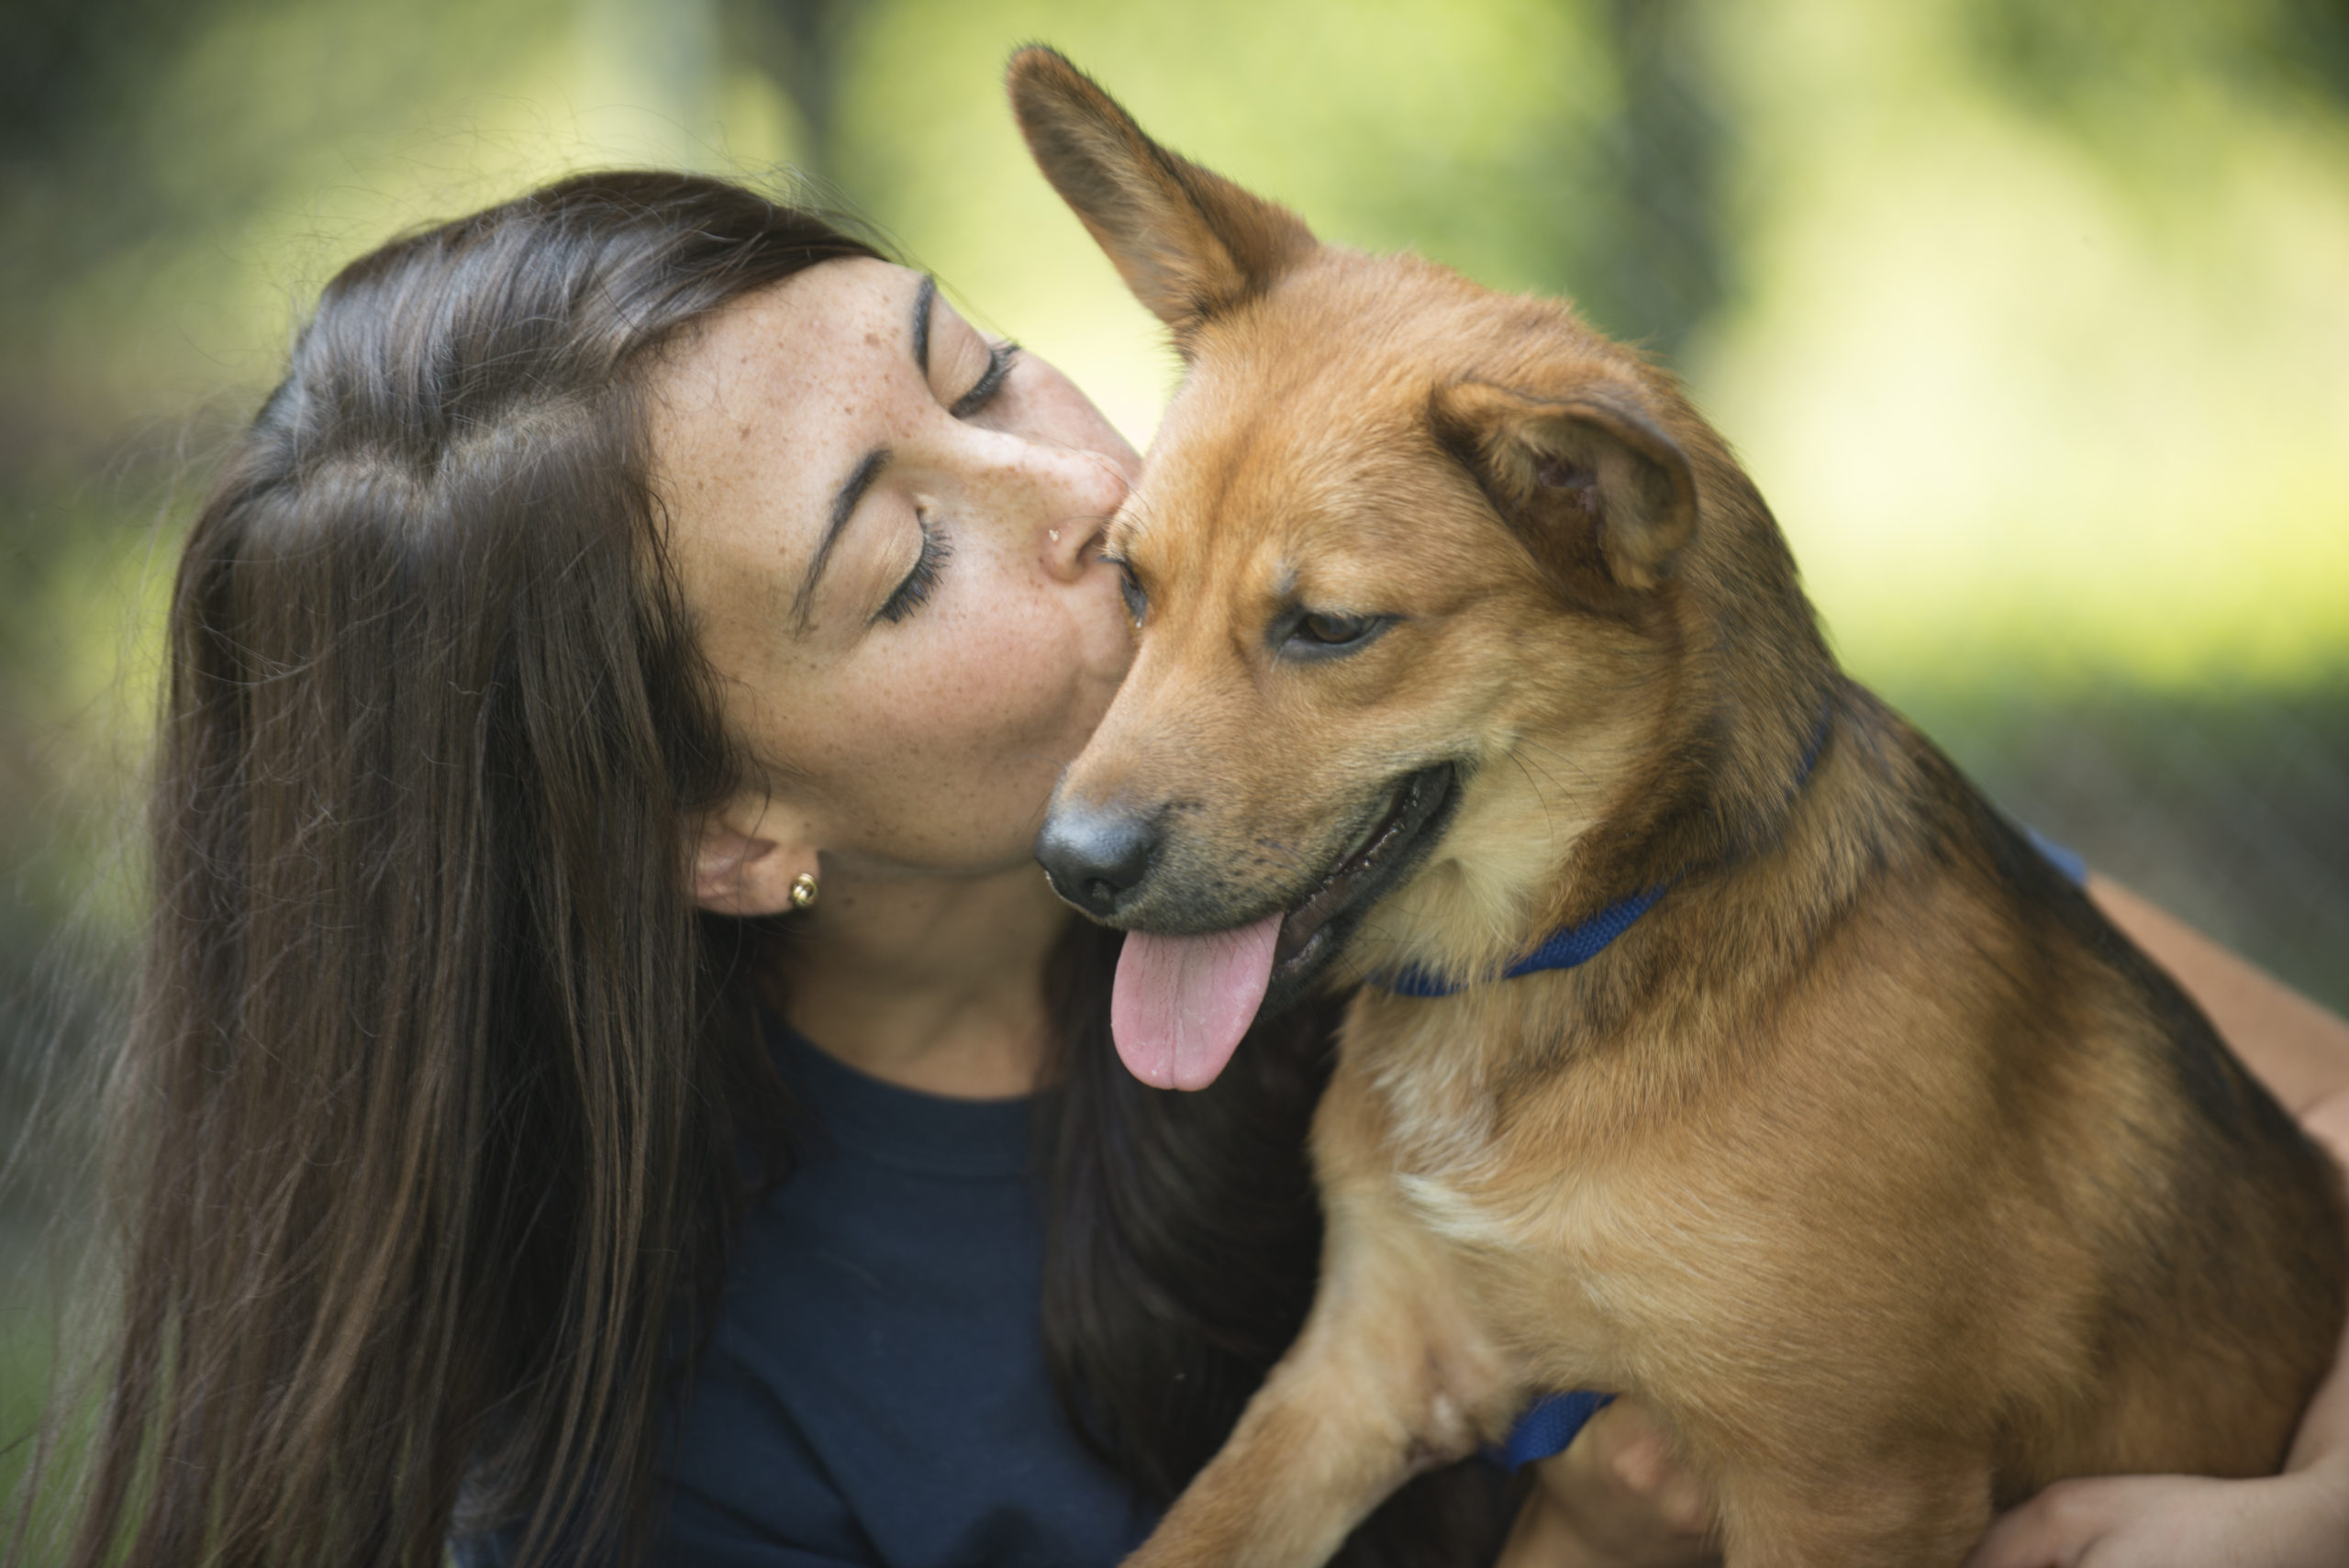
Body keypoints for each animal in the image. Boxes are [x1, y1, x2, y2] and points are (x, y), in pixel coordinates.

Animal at [1014, 42, 2349, 1558]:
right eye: (1129, 583)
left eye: (1330, 629)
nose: (1068, 864)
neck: (1559, 968)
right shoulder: (1361, 1369)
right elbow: (1195, 1530)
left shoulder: (1843, 1486)